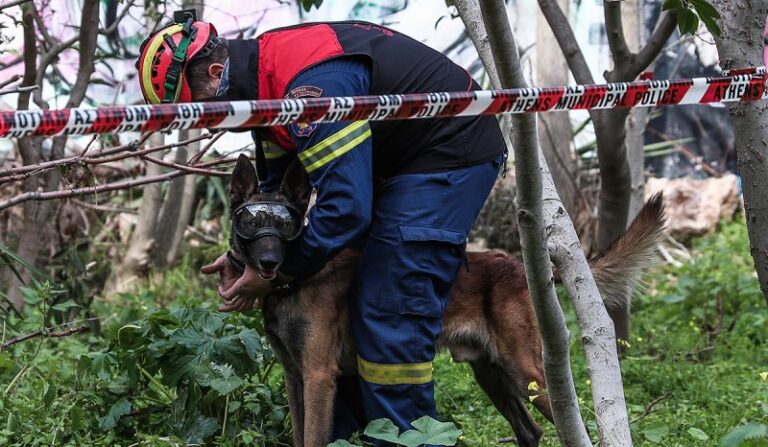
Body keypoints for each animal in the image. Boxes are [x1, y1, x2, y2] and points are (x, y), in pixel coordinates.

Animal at [225, 155, 664, 447]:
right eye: (251, 221)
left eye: (284, 223)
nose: (267, 263)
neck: (296, 281)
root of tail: (519, 267)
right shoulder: (293, 375)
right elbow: (299, 435)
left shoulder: (318, 376)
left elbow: (313, 438)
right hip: (492, 376)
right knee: (530, 430)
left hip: (526, 372)